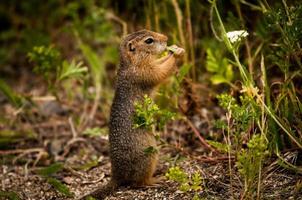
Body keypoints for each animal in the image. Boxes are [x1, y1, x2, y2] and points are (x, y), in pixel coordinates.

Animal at [79, 28, 185, 199]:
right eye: (149, 40)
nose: (166, 38)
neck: (131, 62)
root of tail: (117, 175)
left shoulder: (150, 64)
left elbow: (160, 63)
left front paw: (174, 49)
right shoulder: (144, 72)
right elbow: (160, 72)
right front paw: (177, 53)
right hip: (149, 156)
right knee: (138, 183)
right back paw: (155, 180)